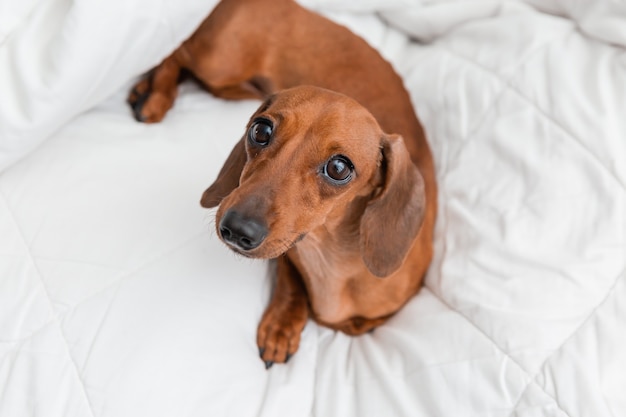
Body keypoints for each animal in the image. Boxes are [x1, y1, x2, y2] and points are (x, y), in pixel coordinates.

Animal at [128, 0, 434, 368]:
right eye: (260, 130)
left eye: (339, 168)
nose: (237, 229)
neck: (329, 258)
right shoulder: (289, 255)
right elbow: (291, 282)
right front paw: (282, 324)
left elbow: (354, 323)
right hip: (219, 62)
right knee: (177, 50)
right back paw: (155, 95)